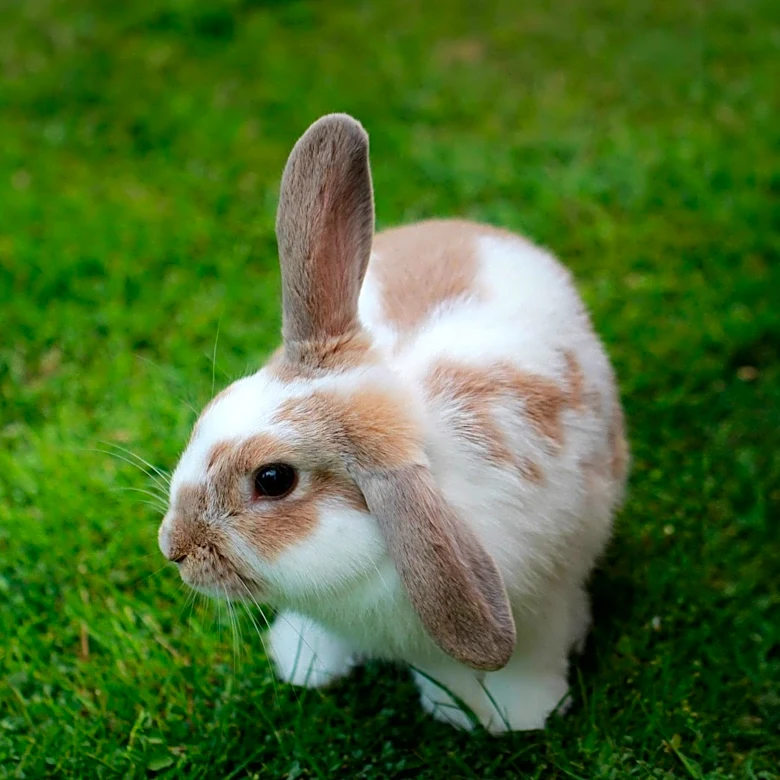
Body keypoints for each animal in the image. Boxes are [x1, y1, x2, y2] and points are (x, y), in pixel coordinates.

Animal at [157, 113, 629, 733]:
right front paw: (307, 663)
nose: (173, 548)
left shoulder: (539, 603)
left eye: (274, 480)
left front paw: (521, 714)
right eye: (215, 409)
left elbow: (527, 659)